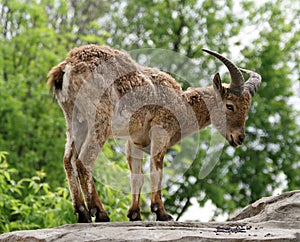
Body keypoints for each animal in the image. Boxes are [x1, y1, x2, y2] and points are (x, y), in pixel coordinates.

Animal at [47, 44, 260, 222]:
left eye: (247, 108)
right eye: (230, 106)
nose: (239, 138)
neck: (182, 104)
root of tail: (67, 67)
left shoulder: (135, 140)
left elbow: (137, 175)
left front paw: (135, 214)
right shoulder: (161, 130)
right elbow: (157, 170)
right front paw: (162, 213)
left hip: (74, 120)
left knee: (68, 160)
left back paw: (82, 213)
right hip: (99, 120)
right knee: (84, 161)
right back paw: (99, 213)